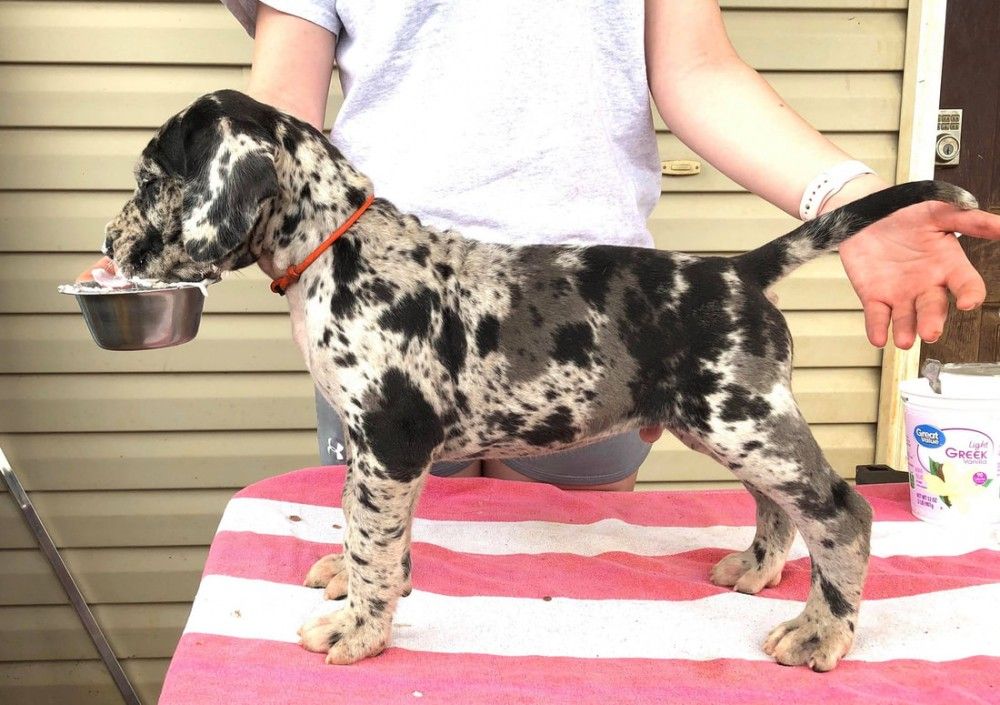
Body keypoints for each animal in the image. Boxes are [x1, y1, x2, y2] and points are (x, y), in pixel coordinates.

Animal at [103, 90, 977, 671]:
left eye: (150, 180)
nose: (110, 243)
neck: (339, 251)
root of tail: (737, 270)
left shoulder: (392, 439)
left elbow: (375, 542)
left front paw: (361, 628)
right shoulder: (372, 449)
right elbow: (366, 528)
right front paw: (353, 583)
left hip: (743, 420)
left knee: (841, 511)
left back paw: (822, 630)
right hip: (730, 422)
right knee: (782, 505)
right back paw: (757, 569)